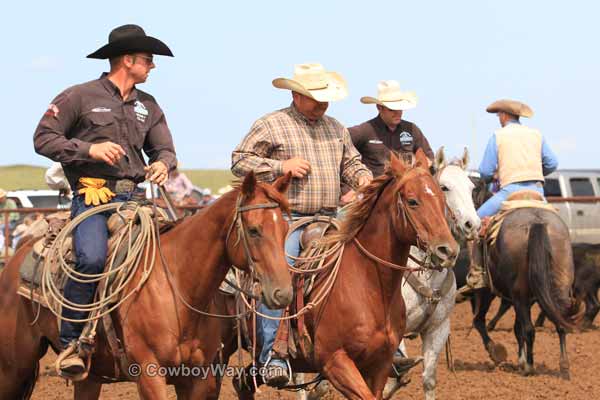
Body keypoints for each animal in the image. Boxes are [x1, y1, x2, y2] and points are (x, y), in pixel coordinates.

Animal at [0, 170, 292, 398]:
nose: (283, 293)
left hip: (90, 376)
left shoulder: (199, 378)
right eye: (254, 230)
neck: (177, 287)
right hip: (13, 368)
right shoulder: (149, 375)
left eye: (285, 230)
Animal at [221, 150, 460, 400]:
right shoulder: (335, 362)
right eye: (413, 201)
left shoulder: (380, 366)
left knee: (242, 383)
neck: (370, 287)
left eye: (441, 197)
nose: (448, 250)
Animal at [302, 148, 480, 400]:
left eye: (471, 187)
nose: (472, 225)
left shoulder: (438, 328)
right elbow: (392, 380)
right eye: (445, 187)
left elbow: (428, 380)